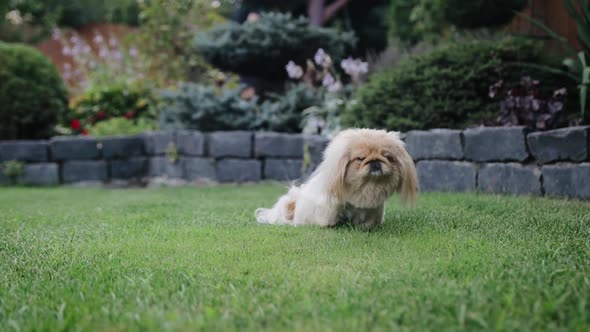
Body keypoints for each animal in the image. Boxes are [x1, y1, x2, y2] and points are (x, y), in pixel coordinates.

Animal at [256, 128, 418, 230]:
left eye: (387, 157)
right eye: (361, 159)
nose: (375, 162)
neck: (367, 186)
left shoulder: (374, 209)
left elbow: (370, 220)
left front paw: (367, 227)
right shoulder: (330, 206)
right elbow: (329, 218)